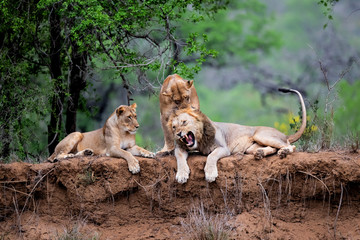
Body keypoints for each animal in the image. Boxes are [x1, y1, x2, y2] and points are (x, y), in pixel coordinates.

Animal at [169, 88, 306, 184]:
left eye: (184, 122)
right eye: (174, 127)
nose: (178, 134)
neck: (200, 140)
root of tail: (284, 134)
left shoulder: (223, 148)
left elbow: (211, 156)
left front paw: (210, 174)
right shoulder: (181, 148)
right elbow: (179, 157)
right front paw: (181, 175)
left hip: (261, 135)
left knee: (290, 146)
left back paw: (284, 152)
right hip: (252, 147)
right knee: (273, 148)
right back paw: (260, 153)